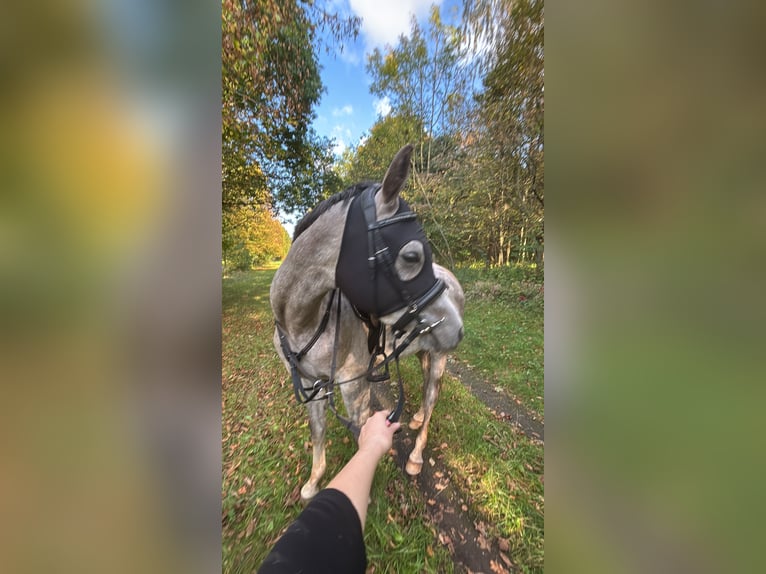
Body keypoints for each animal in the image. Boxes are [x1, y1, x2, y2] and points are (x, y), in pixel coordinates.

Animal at [270, 144, 464, 501]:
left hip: (440, 358)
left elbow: (362, 439)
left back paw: (416, 456)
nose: (456, 329)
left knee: (432, 399)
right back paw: (415, 417)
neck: (303, 321)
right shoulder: (311, 385)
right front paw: (314, 482)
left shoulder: (354, 389)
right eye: (412, 256)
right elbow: (317, 432)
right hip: (424, 350)